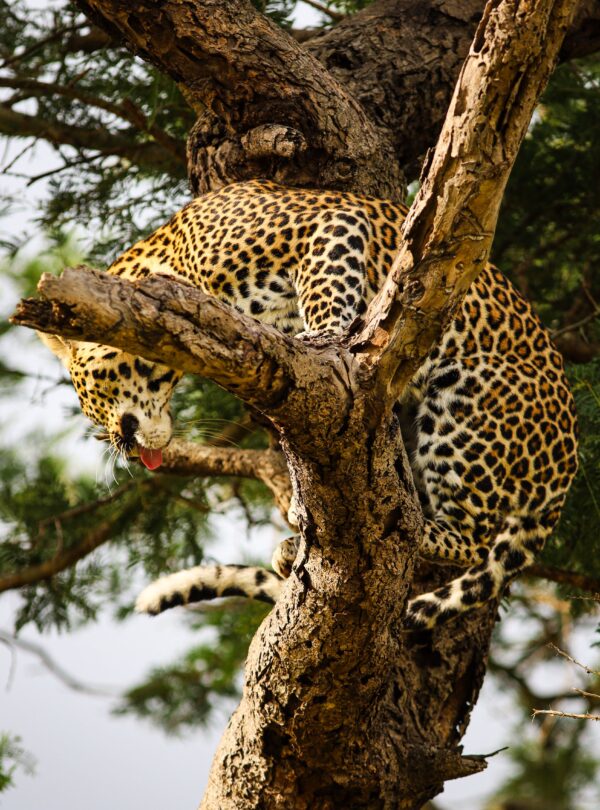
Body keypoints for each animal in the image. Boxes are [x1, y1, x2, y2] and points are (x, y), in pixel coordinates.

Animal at [39, 179, 578, 629]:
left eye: (92, 397)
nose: (124, 449)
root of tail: (566, 471)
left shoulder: (330, 224)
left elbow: (327, 290)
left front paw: (326, 338)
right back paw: (297, 543)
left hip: (467, 397)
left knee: (470, 539)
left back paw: (407, 529)